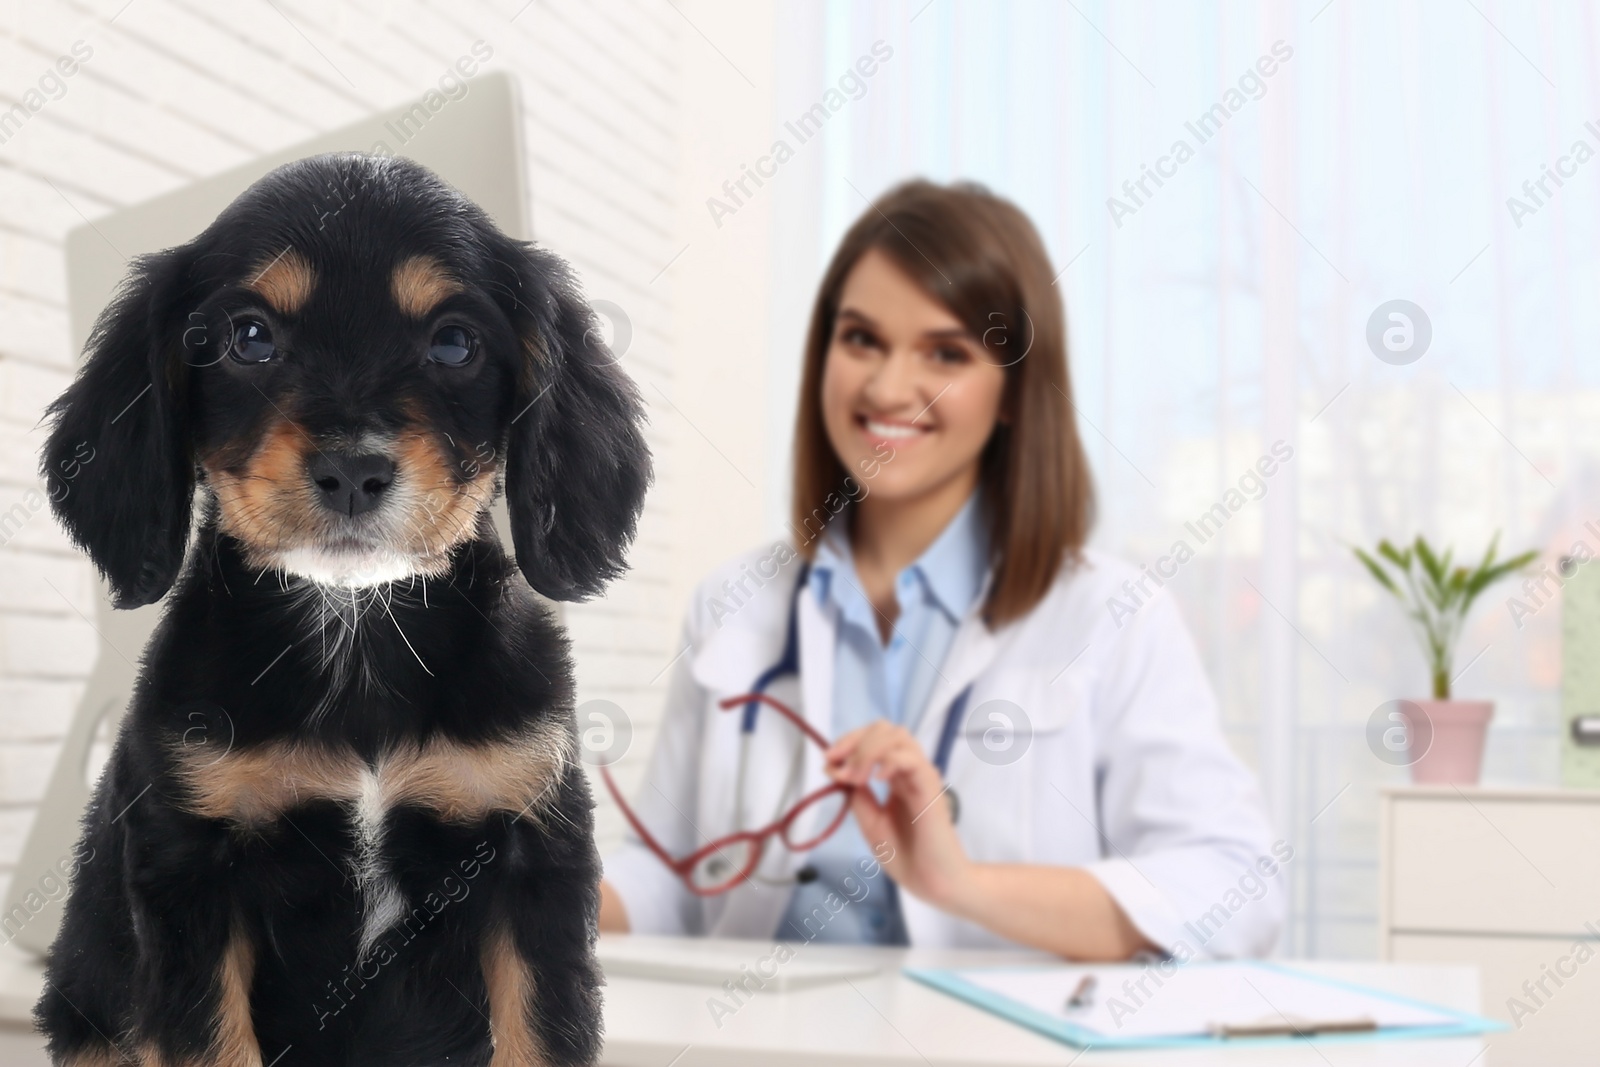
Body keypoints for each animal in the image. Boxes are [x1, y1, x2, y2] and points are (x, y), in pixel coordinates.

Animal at [31, 151, 646, 1067]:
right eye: (250, 337)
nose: (353, 470)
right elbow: (213, 1042)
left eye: (454, 343)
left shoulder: (531, 858)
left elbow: (540, 1033)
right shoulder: (190, 874)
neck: (354, 627)